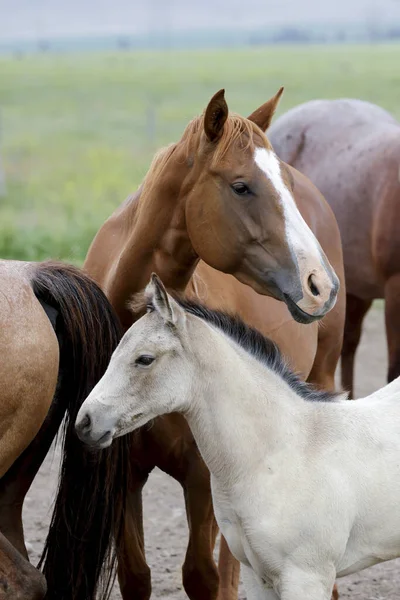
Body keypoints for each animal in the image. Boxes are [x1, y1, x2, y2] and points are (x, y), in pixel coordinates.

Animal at [83, 89, 346, 600]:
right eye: (241, 187)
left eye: (283, 181)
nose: (320, 284)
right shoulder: (125, 471)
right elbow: (136, 575)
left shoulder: (202, 474)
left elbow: (204, 577)